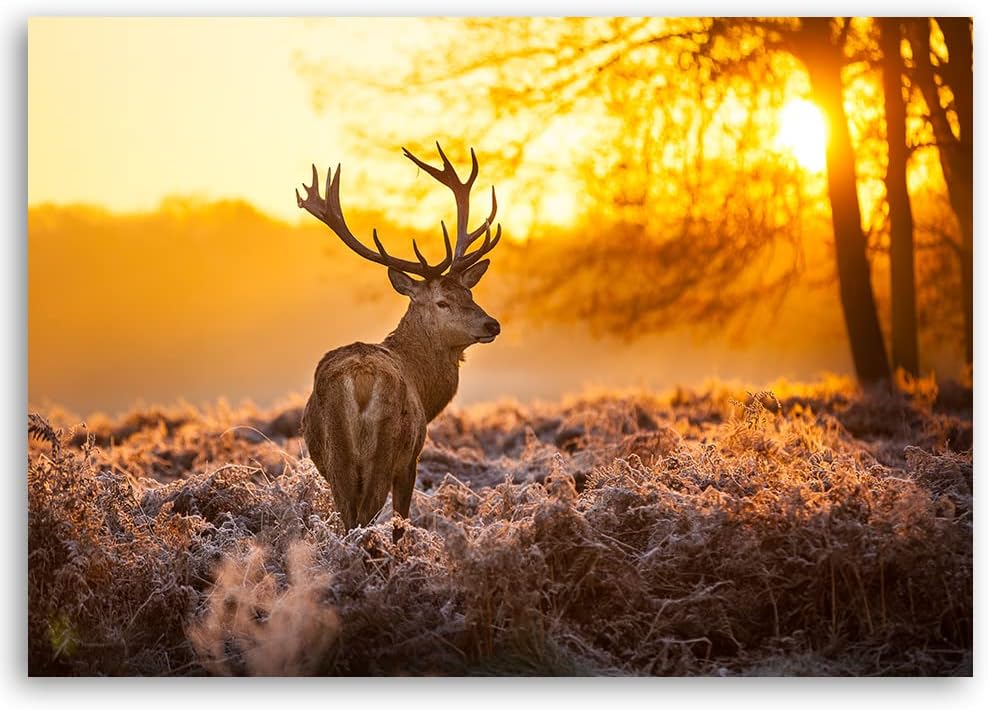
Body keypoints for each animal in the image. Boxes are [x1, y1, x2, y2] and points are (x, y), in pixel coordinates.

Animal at [295, 144, 502, 543]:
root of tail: (360, 379)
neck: (425, 388)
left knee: (348, 519)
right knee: (365, 519)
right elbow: (400, 523)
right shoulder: (411, 458)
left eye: (469, 293)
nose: (492, 324)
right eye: (442, 302)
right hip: (385, 450)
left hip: (336, 457)